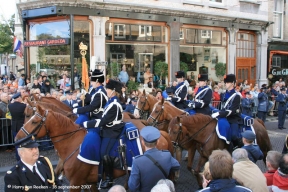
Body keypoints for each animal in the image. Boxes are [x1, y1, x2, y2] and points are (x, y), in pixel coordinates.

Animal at [16, 104, 176, 191]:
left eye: (34, 120)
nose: (17, 138)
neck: (73, 143)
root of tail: (160, 134)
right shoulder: (90, 181)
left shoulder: (75, 183)